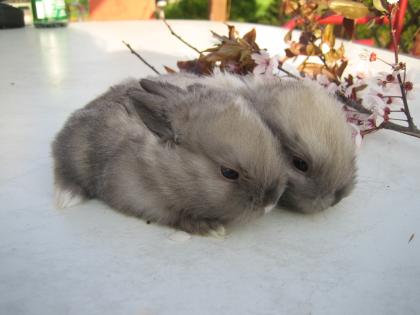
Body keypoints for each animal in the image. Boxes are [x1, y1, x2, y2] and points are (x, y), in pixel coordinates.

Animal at [51, 79, 288, 237]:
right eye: (228, 172)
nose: (270, 203)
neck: (164, 167)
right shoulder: (141, 198)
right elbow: (175, 216)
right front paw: (211, 229)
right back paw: (67, 197)